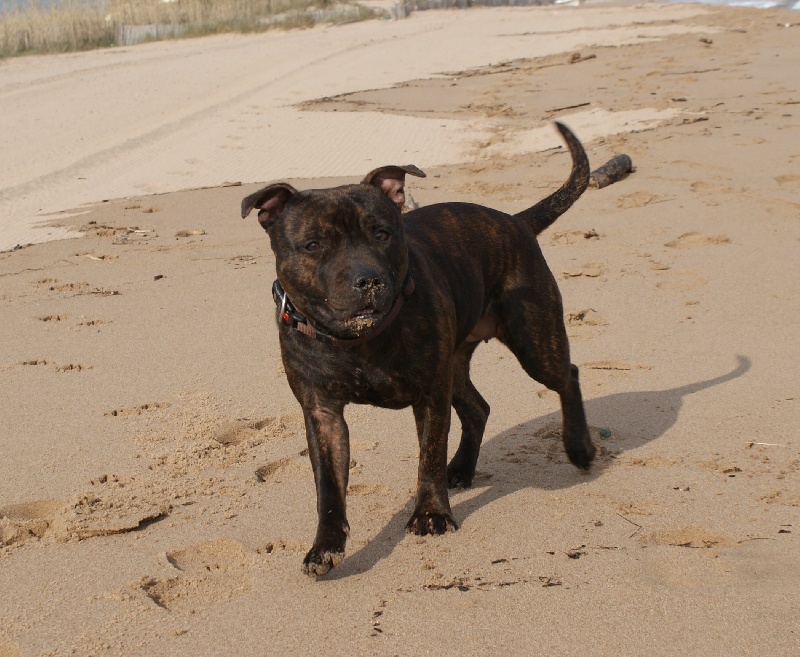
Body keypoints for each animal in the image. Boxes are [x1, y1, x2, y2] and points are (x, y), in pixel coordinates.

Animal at [242, 123, 592, 576]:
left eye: (382, 233)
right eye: (313, 244)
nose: (367, 279)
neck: (357, 342)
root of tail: (513, 221)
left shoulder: (429, 396)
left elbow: (428, 456)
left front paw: (430, 514)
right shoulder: (322, 413)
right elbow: (329, 488)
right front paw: (325, 547)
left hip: (533, 339)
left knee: (567, 376)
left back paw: (579, 446)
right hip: (455, 364)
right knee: (478, 408)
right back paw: (461, 469)